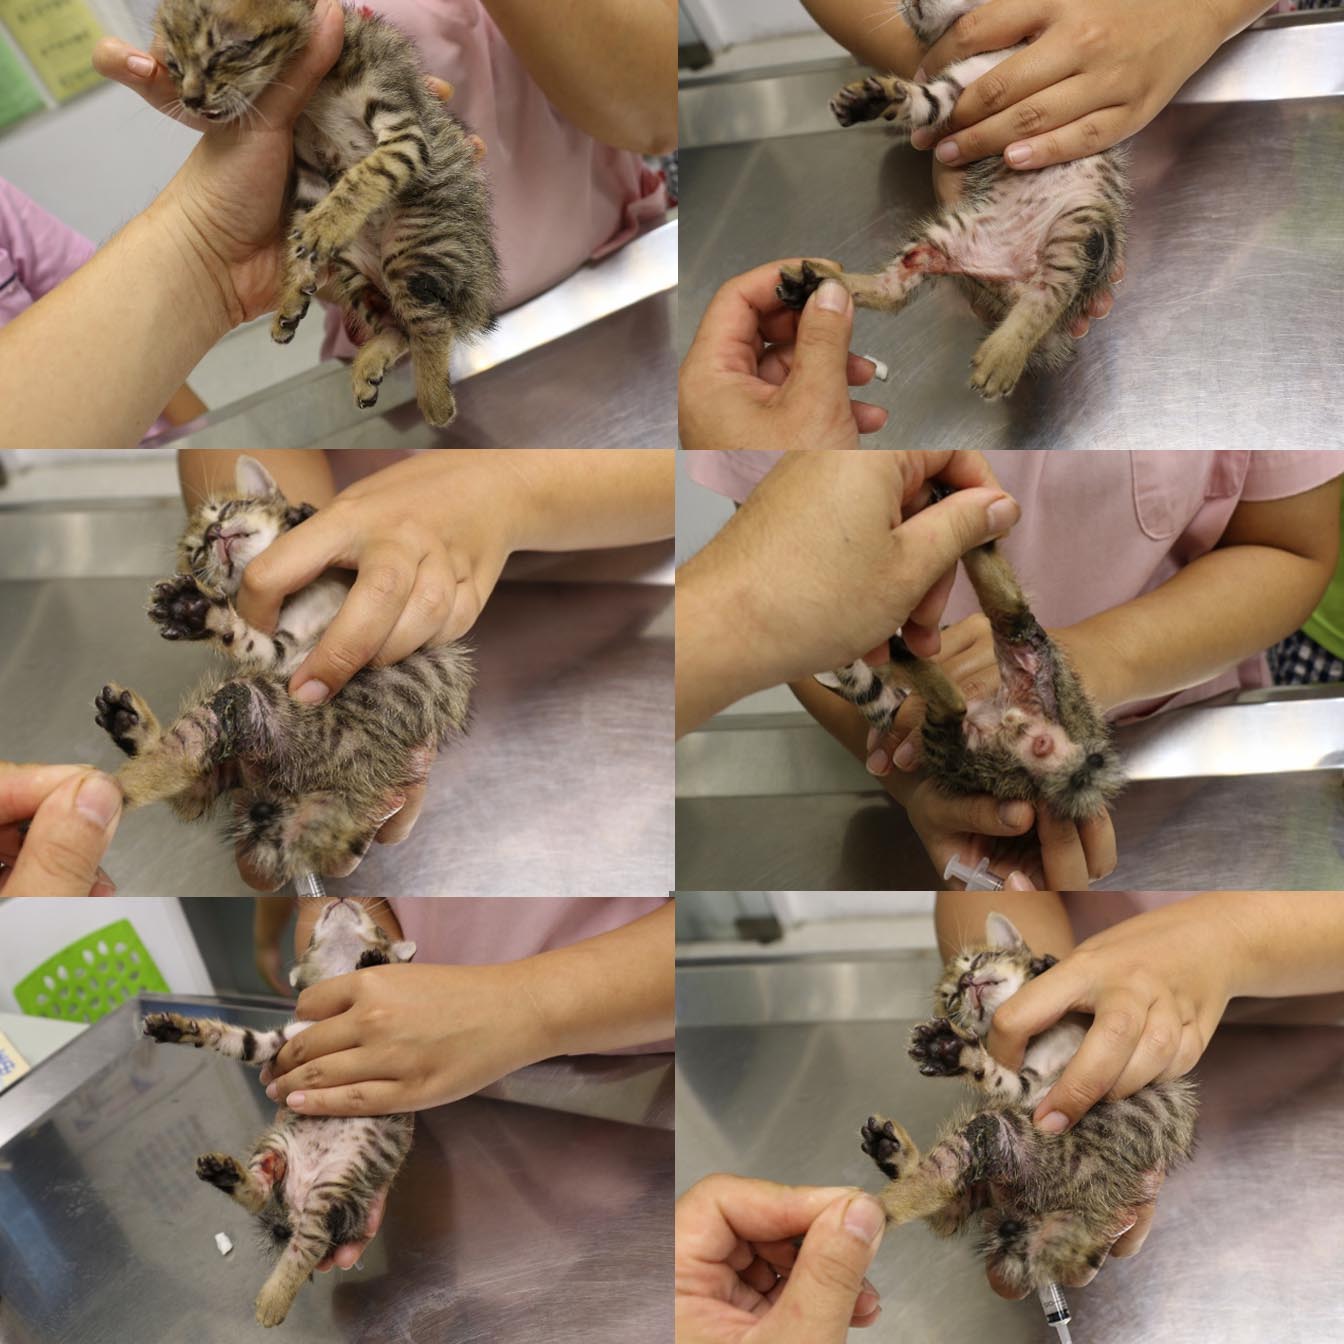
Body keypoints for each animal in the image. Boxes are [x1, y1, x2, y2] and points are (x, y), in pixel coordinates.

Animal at [93, 455, 473, 886]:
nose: (213, 533)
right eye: (197, 554)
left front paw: (300, 515)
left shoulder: (291, 654)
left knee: (191, 781)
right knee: (182, 769)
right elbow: (251, 643)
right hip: (251, 706)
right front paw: (198, 611)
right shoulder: (286, 657)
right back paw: (112, 769)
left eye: (226, 509)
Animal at [142, 898, 416, 1327]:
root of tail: (295, 1203)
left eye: (380, 928)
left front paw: (373, 963)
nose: (339, 899)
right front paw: (177, 1029)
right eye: (312, 935)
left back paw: (271, 1302)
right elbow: (231, 1038)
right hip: (276, 1147)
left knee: (308, 1246)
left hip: (335, 1188)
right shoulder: (275, 1044)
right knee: (258, 1196)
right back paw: (225, 1173)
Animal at [153, 0, 501, 426]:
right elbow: (300, 233)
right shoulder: (308, 169)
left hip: (413, 249)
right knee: (399, 329)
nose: (190, 100)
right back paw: (369, 363)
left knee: (432, 325)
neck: (316, 90)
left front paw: (327, 223)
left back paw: (435, 400)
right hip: (354, 275)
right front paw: (291, 292)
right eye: (173, 65)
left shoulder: (404, 134)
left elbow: (366, 175)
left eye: (226, 51)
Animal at [775, 0, 1129, 400]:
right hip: (945, 236)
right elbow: (921, 100)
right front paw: (872, 98)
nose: (910, 3)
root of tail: (1006, 280)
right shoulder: (952, 89)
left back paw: (1003, 354)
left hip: (1079, 223)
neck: (1005, 51)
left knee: (1051, 293)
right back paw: (821, 282)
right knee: (894, 292)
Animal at [858, 912, 1197, 1293]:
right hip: (999, 1134)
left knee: (945, 1203)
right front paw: (953, 1050)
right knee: (937, 1192)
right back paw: (877, 1190)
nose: (966, 981)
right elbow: (1000, 1080)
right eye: (952, 1000)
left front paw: (1044, 965)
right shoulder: (1030, 1090)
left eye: (978, 959)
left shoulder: (1037, 1086)